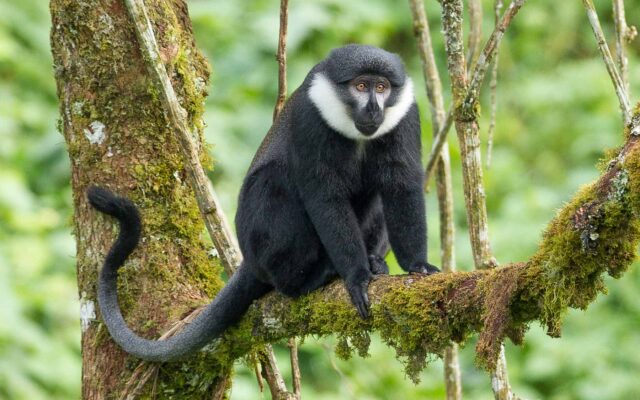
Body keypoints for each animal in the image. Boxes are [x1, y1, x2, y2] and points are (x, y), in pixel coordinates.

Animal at [88, 44, 439, 362]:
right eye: (361, 86)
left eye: (382, 87)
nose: (374, 109)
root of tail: (250, 260)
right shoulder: (310, 117)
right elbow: (324, 195)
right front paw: (356, 276)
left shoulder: (406, 114)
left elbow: (401, 184)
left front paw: (417, 266)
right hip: (262, 243)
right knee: (274, 179)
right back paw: (307, 279)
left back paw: (373, 260)